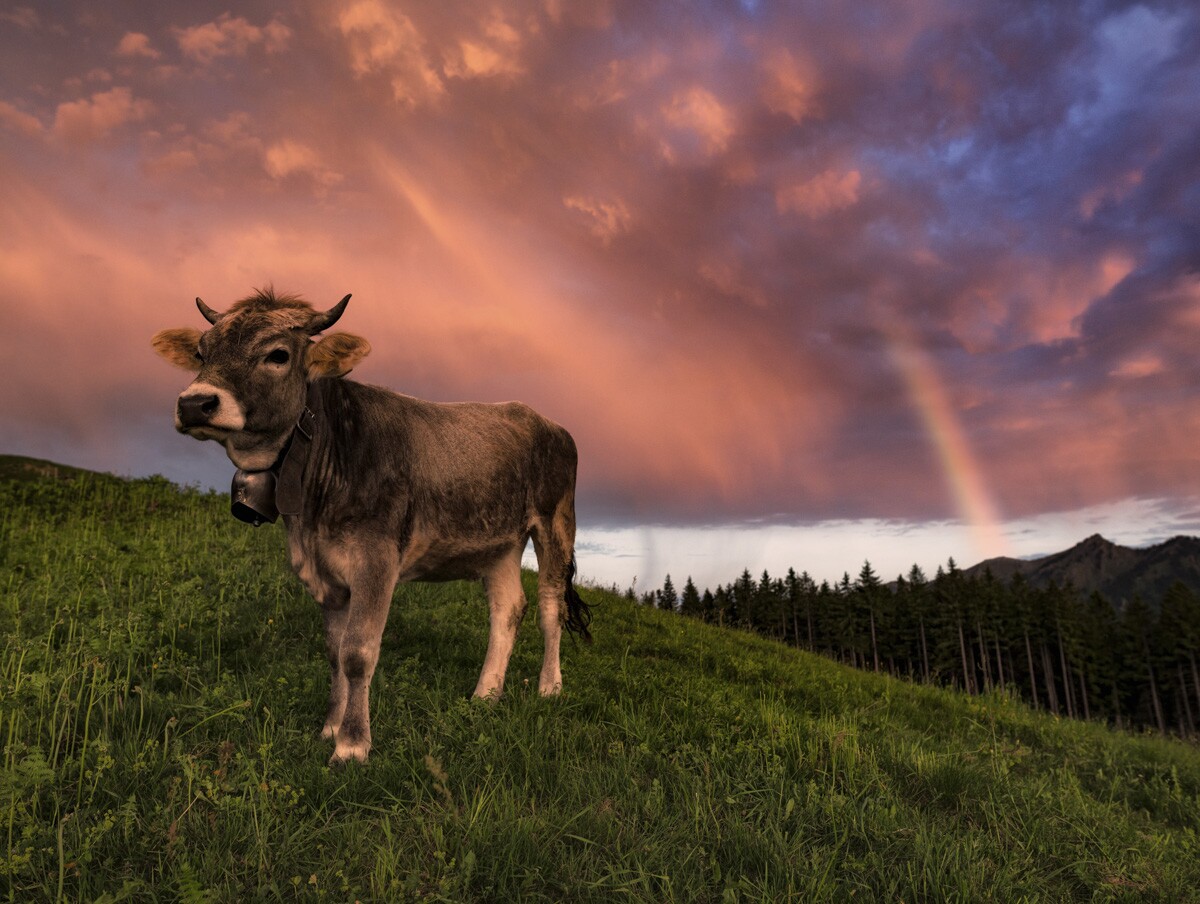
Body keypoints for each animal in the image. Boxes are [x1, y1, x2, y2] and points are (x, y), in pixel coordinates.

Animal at [152, 288, 591, 764]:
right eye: (202, 352)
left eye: (278, 354)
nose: (194, 403)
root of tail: (541, 418)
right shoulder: (323, 569)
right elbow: (334, 652)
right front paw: (329, 726)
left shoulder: (376, 560)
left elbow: (358, 652)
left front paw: (351, 745)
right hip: (497, 542)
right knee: (508, 609)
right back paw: (485, 696)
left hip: (556, 523)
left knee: (550, 607)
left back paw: (550, 688)